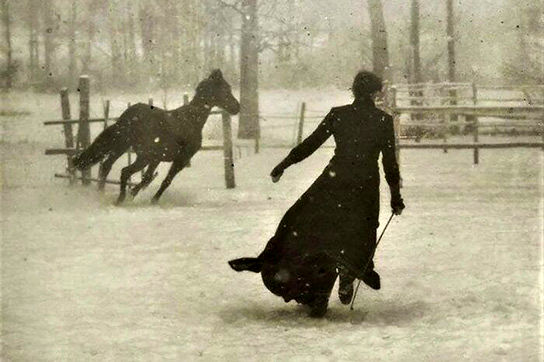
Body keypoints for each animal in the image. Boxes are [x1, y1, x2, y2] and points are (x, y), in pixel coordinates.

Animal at [73, 70, 240, 204]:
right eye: (226, 89)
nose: (236, 107)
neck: (191, 120)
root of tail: (128, 116)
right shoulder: (180, 159)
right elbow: (166, 180)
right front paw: (151, 199)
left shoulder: (157, 159)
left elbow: (147, 177)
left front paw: (134, 192)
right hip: (141, 156)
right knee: (124, 171)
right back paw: (119, 199)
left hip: (122, 147)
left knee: (107, 166)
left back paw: (101, 193)